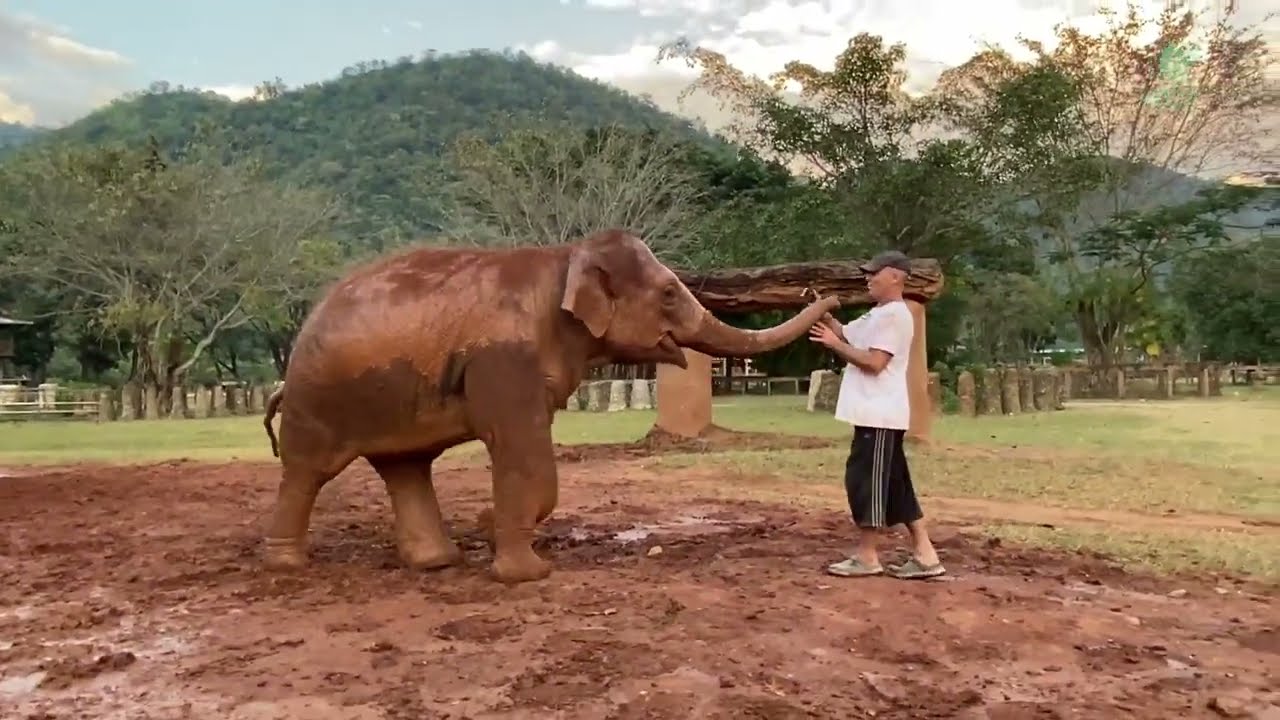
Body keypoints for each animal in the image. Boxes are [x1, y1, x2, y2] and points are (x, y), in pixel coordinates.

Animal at [260, 228, 840, 584]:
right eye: (670, 294)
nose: (825, 297)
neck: (567, 255)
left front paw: (494, 529)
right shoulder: (504, 361)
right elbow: (522, 449)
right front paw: (524, 572)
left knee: (406, 468)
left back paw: (437, 563)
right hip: (317, 399)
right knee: (308, 470)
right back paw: (286, 565)